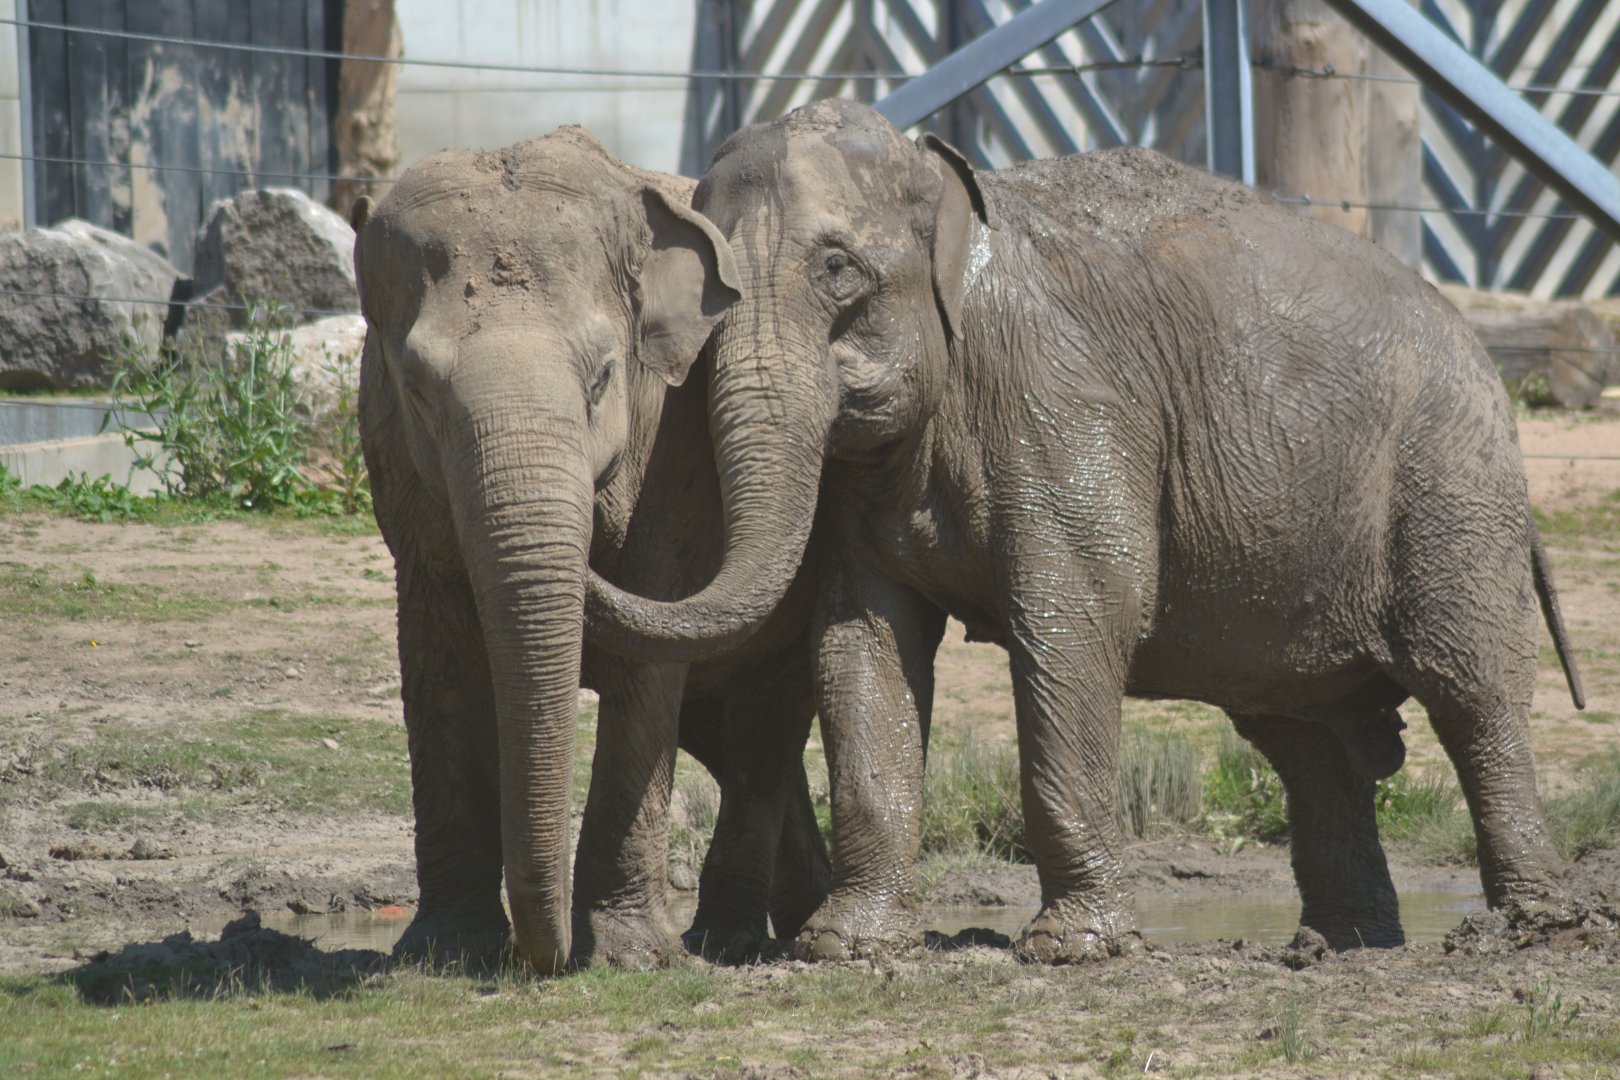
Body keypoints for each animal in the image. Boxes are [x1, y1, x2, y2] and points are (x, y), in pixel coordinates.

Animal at [351, 127, 828, 973]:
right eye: (416, 388)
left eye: (605, 375)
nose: (542, 956)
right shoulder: (392, 459)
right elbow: (437, 656)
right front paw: (445, 953)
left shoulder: (675, 436)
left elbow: (649, 645)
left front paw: (628, 957)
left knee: (761, 731)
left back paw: (734, 939)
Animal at [585, 99, 1585, 961]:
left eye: (838, 270)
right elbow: (862, 640)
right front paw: (844, 948)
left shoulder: (1062, 402)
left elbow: (1081, 615)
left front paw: (1074, 950)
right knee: (1303, 738)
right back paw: (1340, 948)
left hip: (1451, 479)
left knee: (1470, 690)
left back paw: (1530, 932)